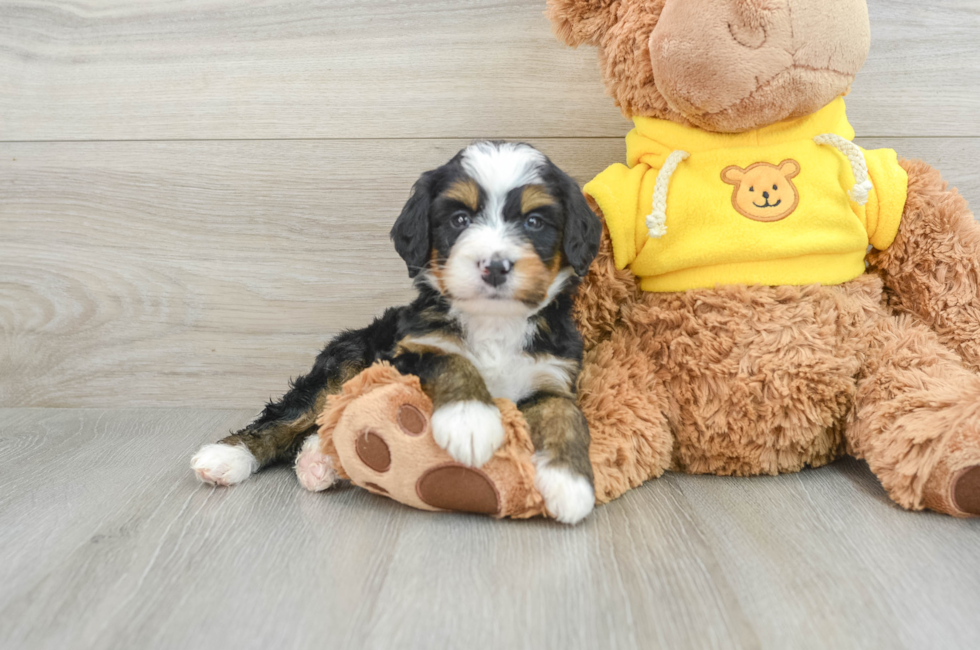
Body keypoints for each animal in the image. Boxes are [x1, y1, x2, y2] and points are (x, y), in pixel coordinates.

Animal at [190, 140, 600, 520]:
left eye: (534, 223)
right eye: (459, 220)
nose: (495, 266)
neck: (493, 322)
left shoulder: (553, 375)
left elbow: (566, 415)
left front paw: (569, 483)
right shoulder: (409, 352)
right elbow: (452, 361)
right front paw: (470, 422)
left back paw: (317, 461)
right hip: (346, 360)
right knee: (291, 416)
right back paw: (227, 456)